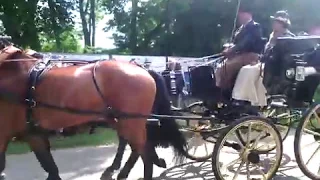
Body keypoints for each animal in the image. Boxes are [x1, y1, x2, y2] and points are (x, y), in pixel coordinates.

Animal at [0, 44, 159, 179]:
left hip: (131, 123)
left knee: (142, 152)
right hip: (121, 121)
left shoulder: (6, 132)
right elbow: (50, 167)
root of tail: (142, 69)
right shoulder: (33, 133)